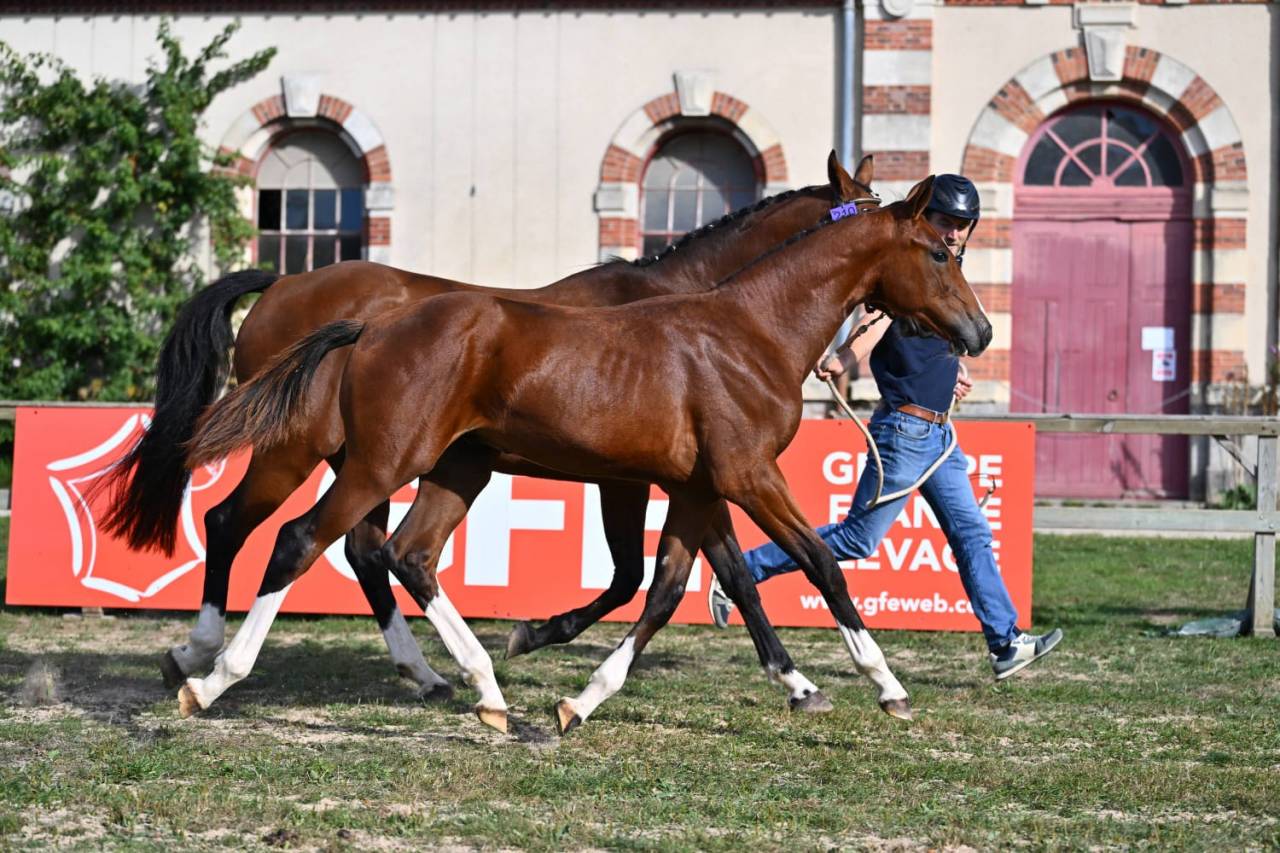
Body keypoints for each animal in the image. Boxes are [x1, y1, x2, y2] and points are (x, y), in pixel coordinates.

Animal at [179, 176, 992, 733]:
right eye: (937, 251)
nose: (979, 332)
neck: (749, 329)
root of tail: (370, 326)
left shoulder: (697, 488)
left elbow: (677, 586)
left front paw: (581, 694)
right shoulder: (744, 475)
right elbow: (818, 562)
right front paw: (886, 685)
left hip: (454, 467)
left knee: (402, 553)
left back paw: (480, 689)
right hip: (366, 460)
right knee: (290, 538)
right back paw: (209, 673)